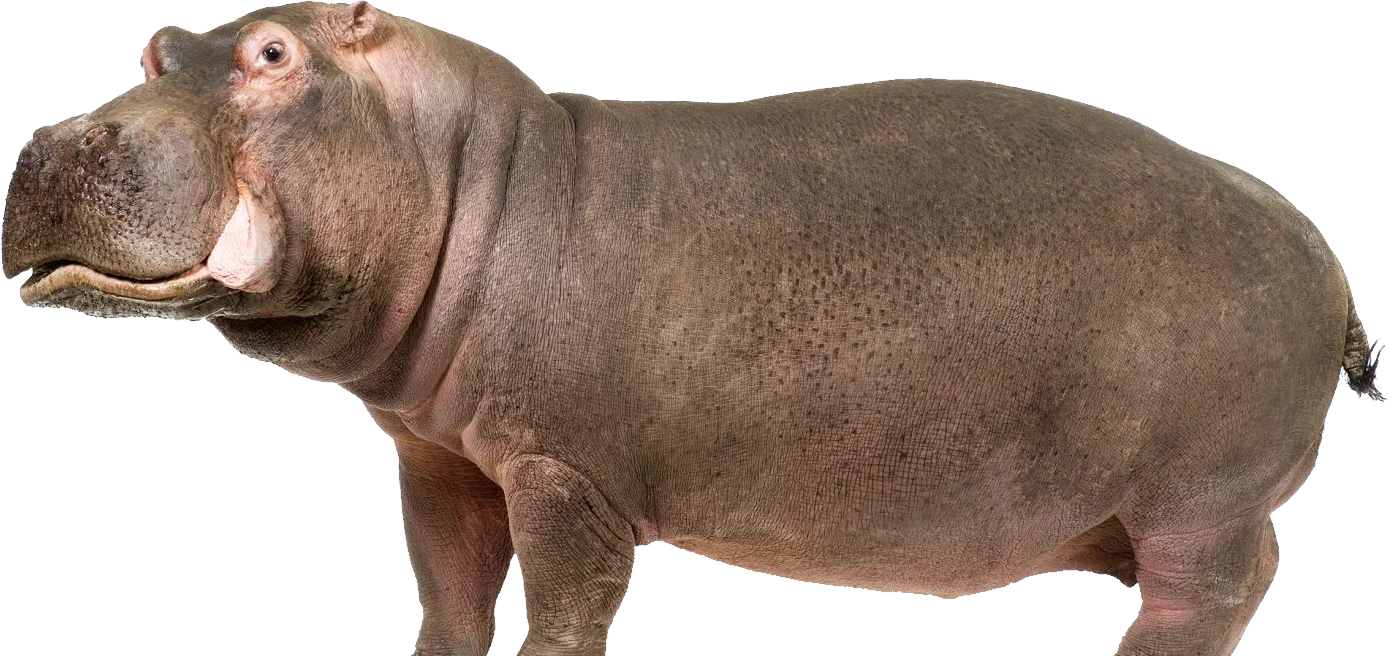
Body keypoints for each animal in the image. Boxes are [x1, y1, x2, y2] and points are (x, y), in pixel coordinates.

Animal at [2, 2, 1381, 655]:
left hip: (1202, 498)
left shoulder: (571, 473)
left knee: (1202, 602)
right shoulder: (439, 455)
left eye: (275, 54)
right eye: (158, 43)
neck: (469, 166)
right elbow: (446, 585)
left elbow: (561, 609)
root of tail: (1319, 251)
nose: (51, 143)